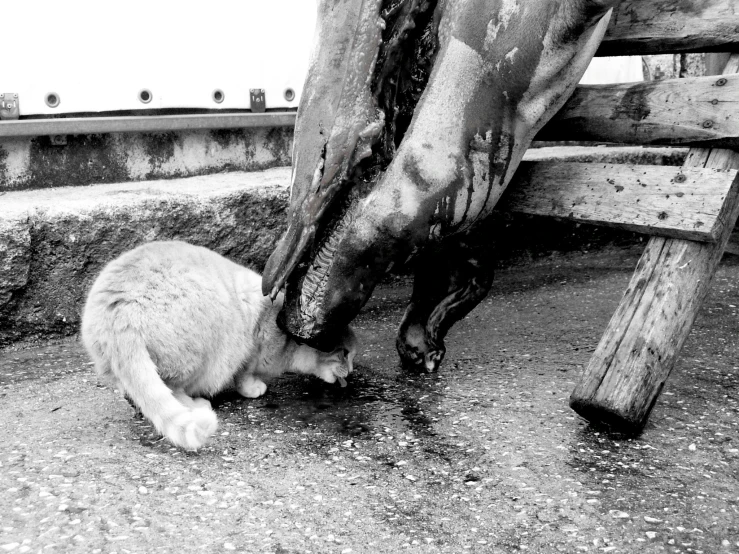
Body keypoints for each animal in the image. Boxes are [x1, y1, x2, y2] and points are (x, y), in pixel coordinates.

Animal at [81, 239, 358, 446]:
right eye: (344, 353)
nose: (352, 371)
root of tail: (121, 308)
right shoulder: (250, 343)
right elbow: (244, 375)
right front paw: (253, 388)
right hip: (197, 352)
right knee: (172, 388)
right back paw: (196, 404)